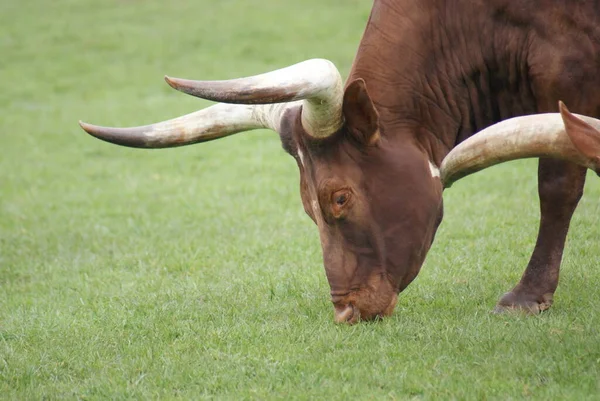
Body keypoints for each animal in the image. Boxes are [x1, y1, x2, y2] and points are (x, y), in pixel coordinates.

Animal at [78, 0, 600, 324]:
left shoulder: (567, 79)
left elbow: (556, 184)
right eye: (307, 208)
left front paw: (528, 296)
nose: (346, 312)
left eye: (340, 197)